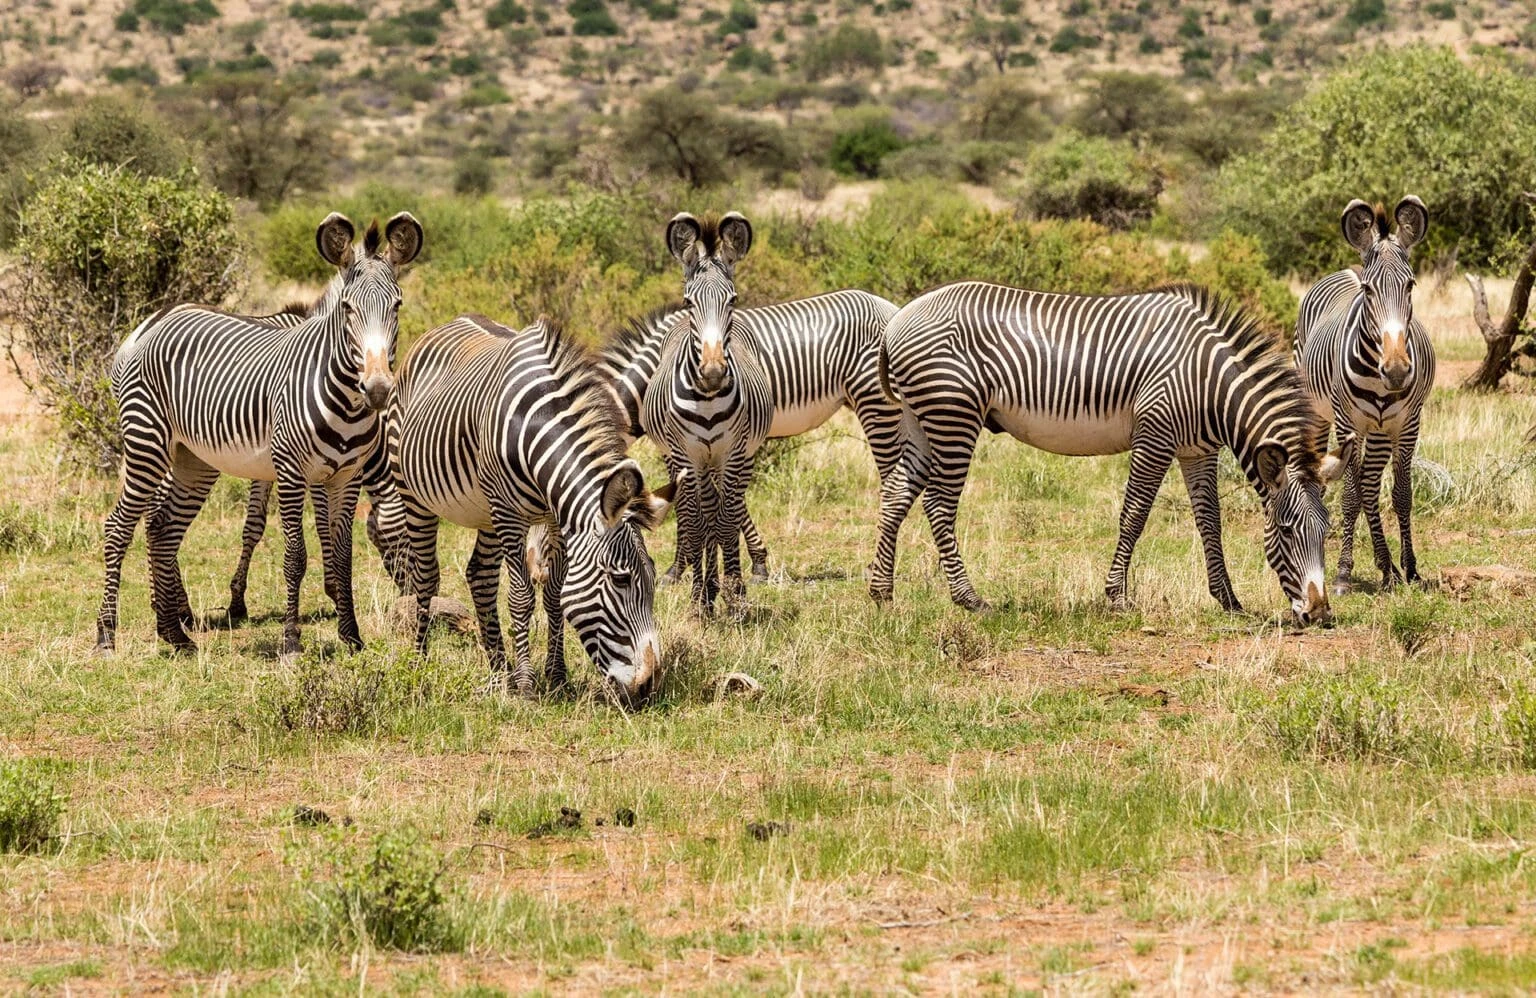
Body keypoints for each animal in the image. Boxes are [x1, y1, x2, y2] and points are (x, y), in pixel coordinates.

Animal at [96, 210, 423, 657]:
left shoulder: (344, 477)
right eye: (348, 308)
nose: (376, 389)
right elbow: (293, 552)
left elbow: (342, 553)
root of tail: (150, 325)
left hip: (192, 458)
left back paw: (175, 632)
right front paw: (290, 639)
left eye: (397, 305)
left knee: (161, 527)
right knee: (119, 526)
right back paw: (107, 635)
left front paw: (351, 635)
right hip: (148, 442)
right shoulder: (290, 471)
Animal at [390, 314, 672, 697]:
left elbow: (555, 591)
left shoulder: (557, 517)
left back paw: (499, 673)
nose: (649, 685)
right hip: (415, 495)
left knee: (481, 577)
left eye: (654, 577)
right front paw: (526, 684)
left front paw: (557, 674)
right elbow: (522, 596)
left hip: (485, 512)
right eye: (620, 579)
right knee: (425, 577)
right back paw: (420, 663)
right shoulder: (510, 516)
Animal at [599, 287, 909, 583]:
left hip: (875, 402)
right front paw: (753, 561)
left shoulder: (689, 444)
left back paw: (876, 566)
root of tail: (890, 307)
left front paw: (678, 568)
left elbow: (688, 505)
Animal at [872, 282, 1351, 620]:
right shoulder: (1155, 434)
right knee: (938, 505)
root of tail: (898, 322)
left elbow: (1210, 522)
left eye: (1325, 530)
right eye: (1285, 531)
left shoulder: (1197, 450)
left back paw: (881, 592)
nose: (1319, 613)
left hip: (922, 419)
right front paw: (1117, 597)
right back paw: (968, 598)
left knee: (896, 493)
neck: (1209, 382)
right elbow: (1134, 514)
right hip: (953, 415)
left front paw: (1228, 599)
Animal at [1302, 198, 1431, 595]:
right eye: (1369, 291)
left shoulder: (1407, 425)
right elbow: (1351, 495)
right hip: (1322, 416)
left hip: (1378, 432)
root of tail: (1346, 269)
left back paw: (1387, 565)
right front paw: (1344, 573)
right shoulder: (1347, 425)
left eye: (1410, 286)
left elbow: (1400, 495)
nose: (1397, 371)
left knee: (1372, 489)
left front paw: (1408, 569)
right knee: (1343, 484)